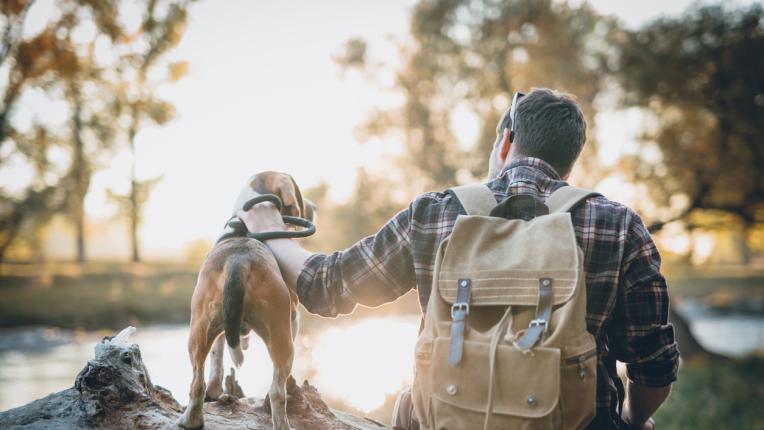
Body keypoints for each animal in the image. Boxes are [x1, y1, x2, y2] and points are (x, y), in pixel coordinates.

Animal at [178, 172, 314, 430]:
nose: (314, 207)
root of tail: (238, 261)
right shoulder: (294, 320)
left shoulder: (220, 330)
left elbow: (217, 359)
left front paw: (215, 389)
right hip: (283, 340)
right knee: (276, 391)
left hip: (198, 331)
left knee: (197, 383)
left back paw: (191, 420)